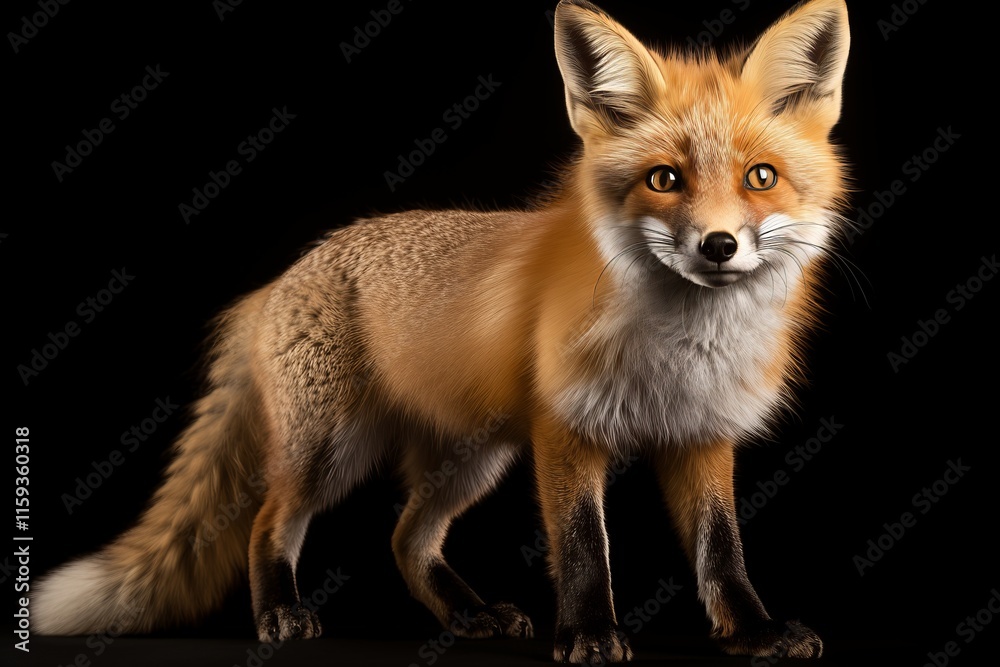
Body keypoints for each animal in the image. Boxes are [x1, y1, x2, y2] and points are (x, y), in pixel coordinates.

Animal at [34, 0, 851, 662]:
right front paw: (589, 633)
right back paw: (281, 614)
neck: (682, 349)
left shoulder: (702, 436)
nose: (719, 245)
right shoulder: (565, 429)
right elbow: (585, 545)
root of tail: (283, 277)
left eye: (760, 177)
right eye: (664, 180)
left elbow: (722, 554)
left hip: (471, 457)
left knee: (406, 537)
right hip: (332, 449)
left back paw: (469, 614)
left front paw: (753, 632)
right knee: (272, 520)